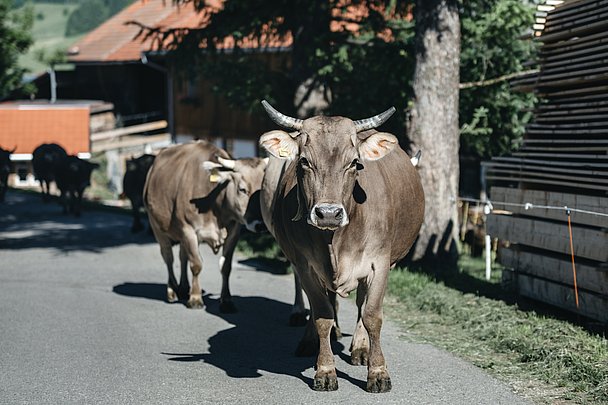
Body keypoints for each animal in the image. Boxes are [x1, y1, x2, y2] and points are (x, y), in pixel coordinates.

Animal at [144, 140, 268, 310]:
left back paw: (183, 288)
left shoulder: (234, 233)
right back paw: (172, 290)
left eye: (263, 191)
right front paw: (196, 298)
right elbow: (196, 264)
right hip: (157, 227)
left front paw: (226, 301)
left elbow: (225, 267)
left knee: (182, 257)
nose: (260, 224)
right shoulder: (188, 230)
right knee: (168, 257)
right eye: (242, 189)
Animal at [258, 101, 426, 392]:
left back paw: (360, 348)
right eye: (304, 161)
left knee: (360, 303)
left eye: (355, 163)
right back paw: (310, 342)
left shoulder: (380, 264)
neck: (335, 242)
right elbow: (322, 314)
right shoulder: (306, 266)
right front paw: (325, 369)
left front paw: (378, 372)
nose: (328, 213)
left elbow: (371, 315)